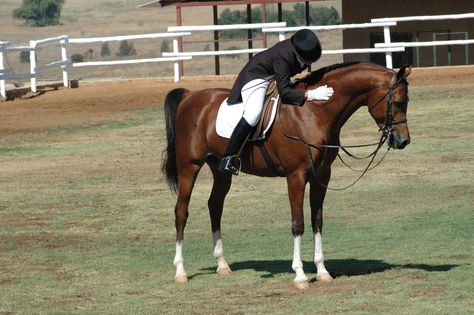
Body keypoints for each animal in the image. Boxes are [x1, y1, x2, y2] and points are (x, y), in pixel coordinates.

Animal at [161, 60, 410, 290]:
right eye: (398, 102)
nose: (403, 141)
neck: (313, 113)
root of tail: (190, 96)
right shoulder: (296, 177)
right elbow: (297, 224)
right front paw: (299, 275)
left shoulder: (322, 176)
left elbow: (317, 221)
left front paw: (322, 271)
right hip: (189, 167)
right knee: (181, 212)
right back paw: (180, 271)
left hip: (221, 171)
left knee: (215, 206)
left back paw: (222, 265)